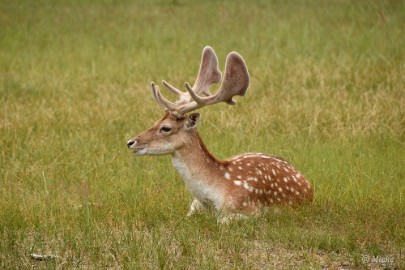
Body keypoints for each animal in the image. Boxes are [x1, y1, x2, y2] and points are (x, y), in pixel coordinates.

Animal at [126, 47, 312, 224]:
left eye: (165, 128)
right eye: (155, 121)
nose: (130, 142)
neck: (213, 196)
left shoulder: (252, 211)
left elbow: (221, 221)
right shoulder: (194, 205)